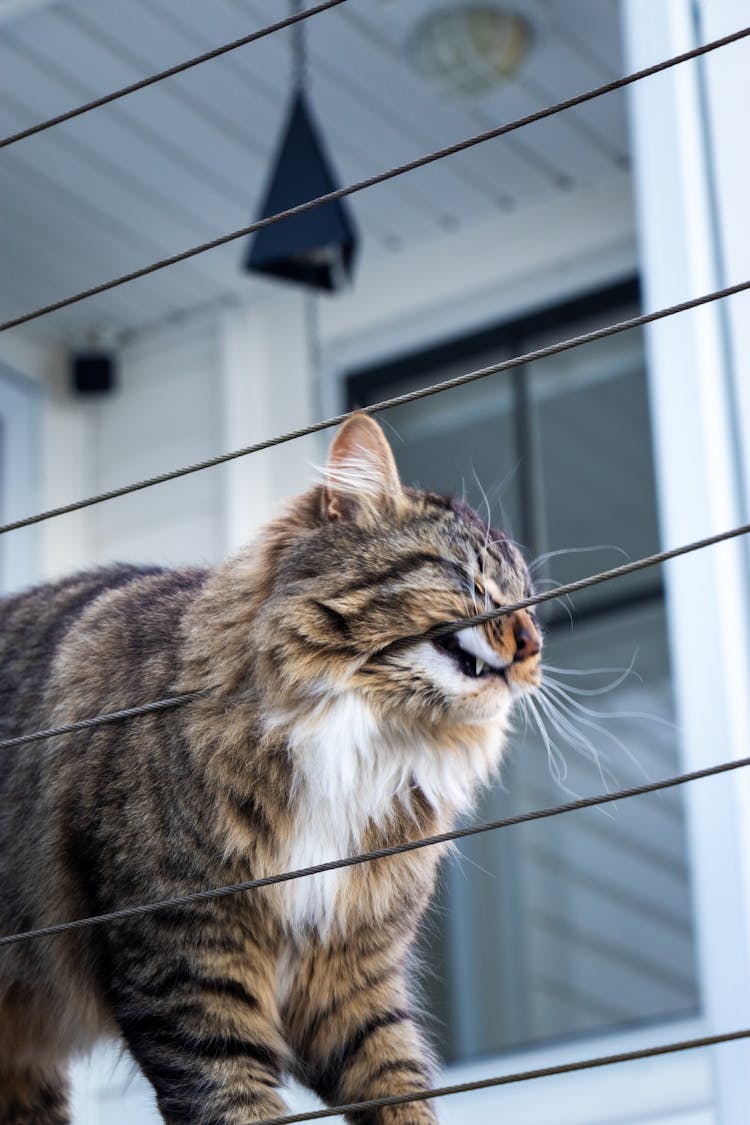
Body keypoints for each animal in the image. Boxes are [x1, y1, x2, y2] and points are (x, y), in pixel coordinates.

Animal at [0, 416, 539, 1125]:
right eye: (469, 578)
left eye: (532, 604)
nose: (534, 645)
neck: (363, 748)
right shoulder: (188, 963)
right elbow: (236, 1100)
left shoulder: (350, 977)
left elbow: (398, 1085)